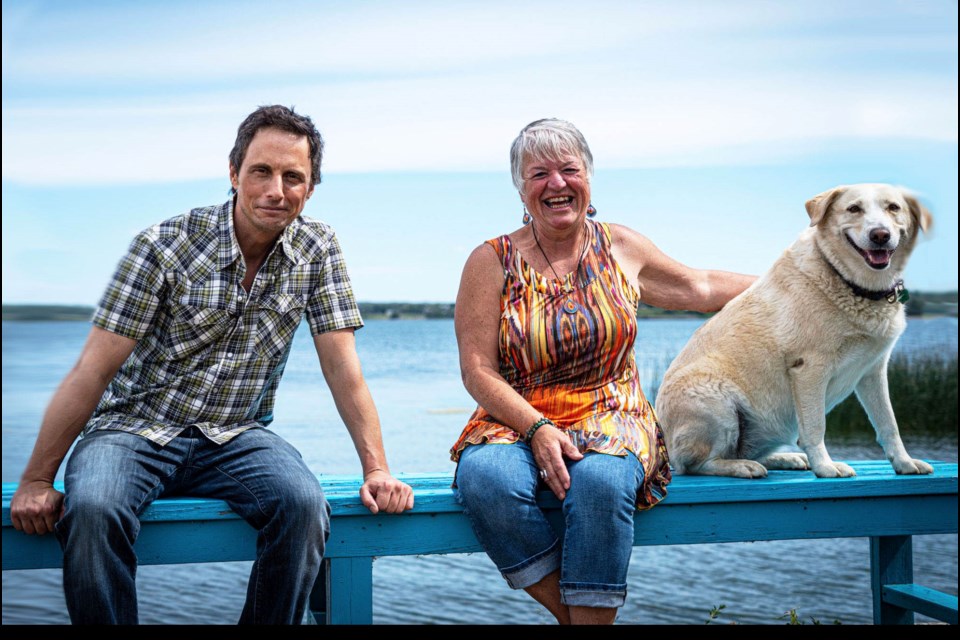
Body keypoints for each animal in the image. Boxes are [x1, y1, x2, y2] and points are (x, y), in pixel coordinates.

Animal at [656, 182, 932, 478]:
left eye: (893, 208)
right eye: (854, 209)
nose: (880, 235)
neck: (852, 283)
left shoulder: (874, 371)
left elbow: (889, 424)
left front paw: (905, 462)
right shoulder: (809, 368)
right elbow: (815, 427)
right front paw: (825, 467)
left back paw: (788, 458)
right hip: (715, 402)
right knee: (697, 464)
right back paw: (742, 466)